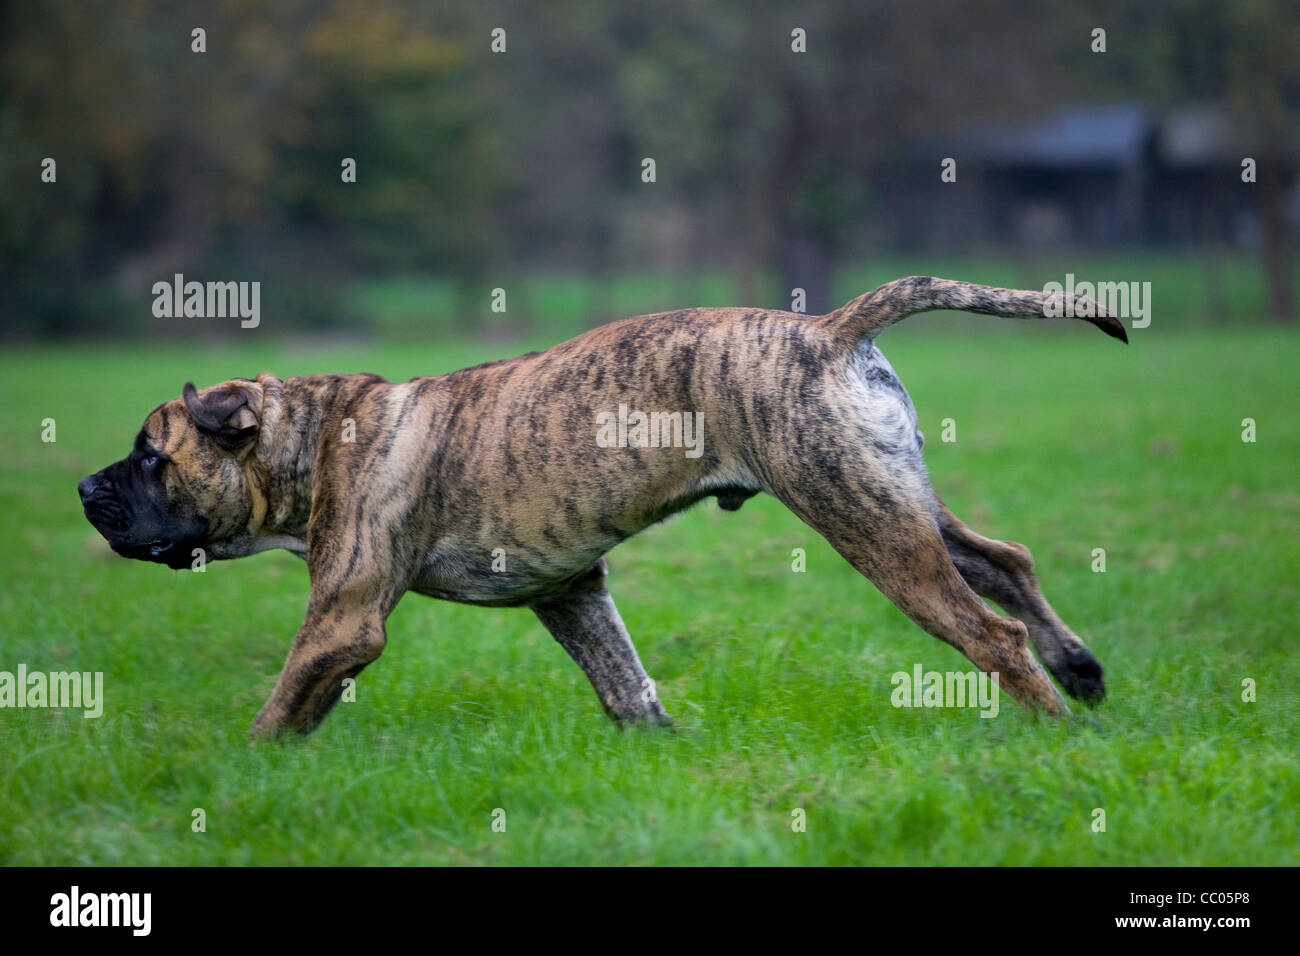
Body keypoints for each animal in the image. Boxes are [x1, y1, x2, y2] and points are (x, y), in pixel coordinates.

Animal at [81, 277, 1123, 738]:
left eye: (150, 455)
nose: (88, 489)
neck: (309, 440)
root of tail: (830, 328)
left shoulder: (343, 620)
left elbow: (277, 706)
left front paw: (244, 767)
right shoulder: (572, 593)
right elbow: (626, 685)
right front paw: (659, 746)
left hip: (866, 525)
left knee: (989, 634)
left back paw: (1050, 727)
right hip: (897, 500)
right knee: (1007, 560)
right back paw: (1079, 671)